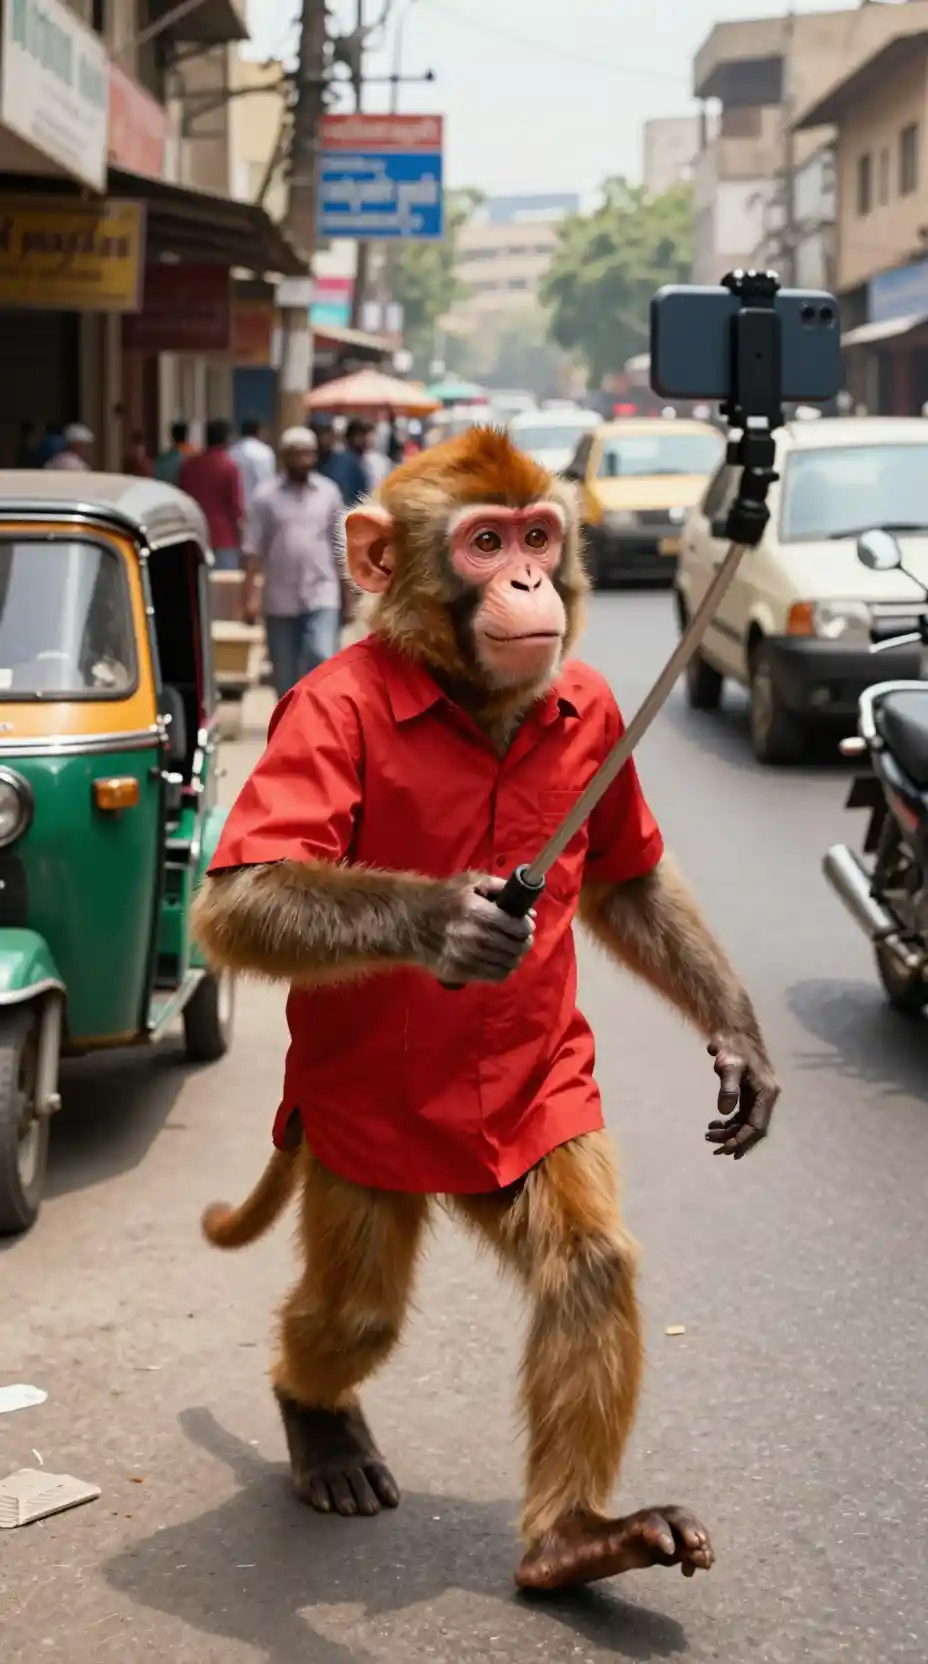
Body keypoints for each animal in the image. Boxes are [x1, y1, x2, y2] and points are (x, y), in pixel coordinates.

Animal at [192, 426, 779, 1594]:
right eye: (484, 542)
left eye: (538, 536)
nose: (526, 582)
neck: (470, 698)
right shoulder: (316, 709)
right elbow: (240, 900)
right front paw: (454, 921)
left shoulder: (595, 708)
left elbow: (625, 882)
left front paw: (740, 1043)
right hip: (351, 1160)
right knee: (353, 1312)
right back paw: (315, 1419)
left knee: (583, 1262)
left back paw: (574, 1540)